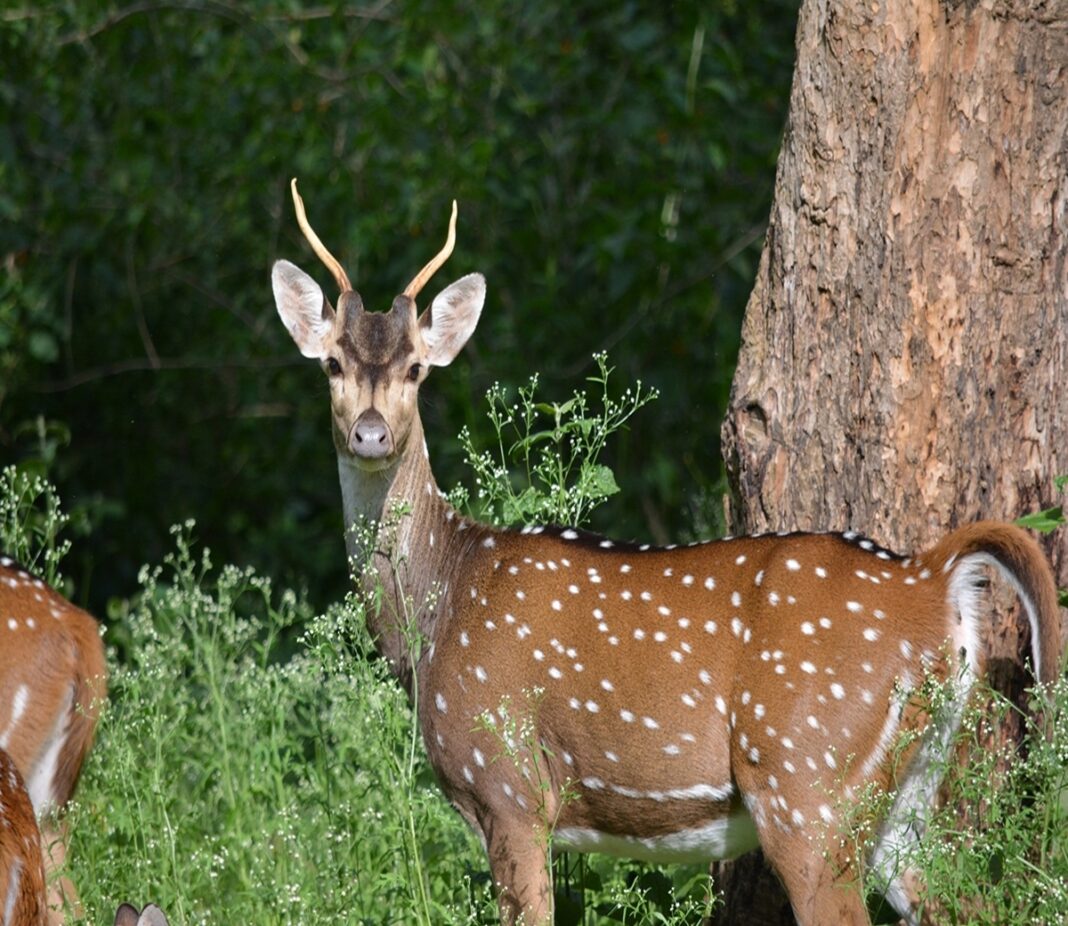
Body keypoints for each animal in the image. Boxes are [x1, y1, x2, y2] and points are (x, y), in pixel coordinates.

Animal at [270, 180, 1063, 926]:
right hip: (904, 797)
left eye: (415, 370)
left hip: (808, 782)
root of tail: (935, 576)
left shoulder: (512, 787)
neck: (436, 616)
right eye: (332, 364)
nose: (371, 433)